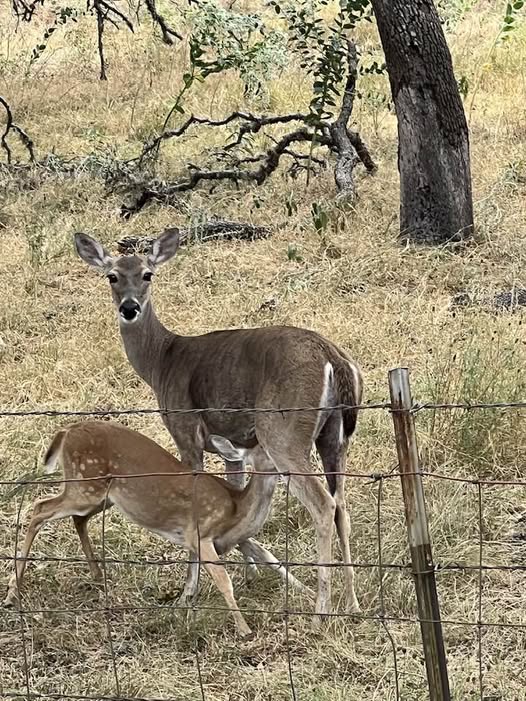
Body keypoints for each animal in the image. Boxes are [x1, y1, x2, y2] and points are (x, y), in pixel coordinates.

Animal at [3, 420, 312, 637]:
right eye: (268, 451)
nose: (294, 464)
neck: (237, 507)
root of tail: (67, 430)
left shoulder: (230, 537)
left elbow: (269, 557)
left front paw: (307, 593)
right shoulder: (200, 533)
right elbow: (224, 580)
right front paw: (244, 629)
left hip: (100, 495)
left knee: (77, 519)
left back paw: (97, 575)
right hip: (84, 485)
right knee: (39, 508)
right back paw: (12, 593)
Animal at [74, 229, 364, 621]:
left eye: (148, 274)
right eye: (112, 276)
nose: (129, 308)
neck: (162, 362)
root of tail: (333, 356)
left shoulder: (186, 434)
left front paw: (188, 594)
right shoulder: (234, 450)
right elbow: (238, 501)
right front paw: (252, 573)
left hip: (283, 433)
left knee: (323, 505)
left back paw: (321, 612)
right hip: (335, 437)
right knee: (342, 506)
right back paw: (353, 603)